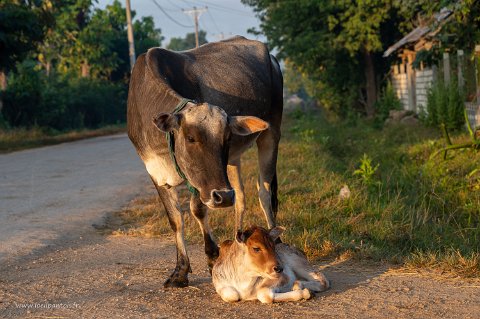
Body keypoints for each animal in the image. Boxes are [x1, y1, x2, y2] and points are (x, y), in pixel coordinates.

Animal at [128, 36, 284, 288]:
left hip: (272, 133)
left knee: (264, 193)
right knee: (241, 197)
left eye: (227, 137)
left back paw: (275, 240)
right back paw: (239, 239)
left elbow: (198, 209)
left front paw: (212, 258)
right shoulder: (155, 172)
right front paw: (180, 271)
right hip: (231, 163)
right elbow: (176, 220)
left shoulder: (203, 183)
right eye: (191, 138)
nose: (223, 196)